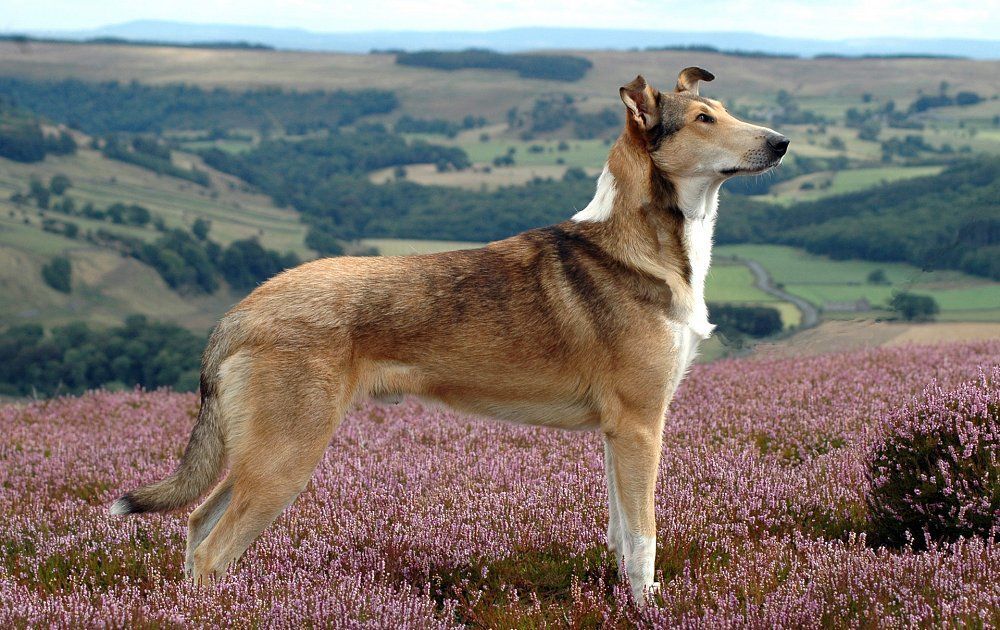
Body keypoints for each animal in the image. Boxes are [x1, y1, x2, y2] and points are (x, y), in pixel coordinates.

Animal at [111, 66, 788, 604]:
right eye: (703, 119)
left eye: (723, 110)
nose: (781, 142)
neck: (645, 244)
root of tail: (239, 313)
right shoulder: (642, 423)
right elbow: (644, 536)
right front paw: (648, 609)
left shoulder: (617, 432)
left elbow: (622, 534)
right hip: (286, 455)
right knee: (211, 546)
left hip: (261, 452)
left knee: (197, 524)